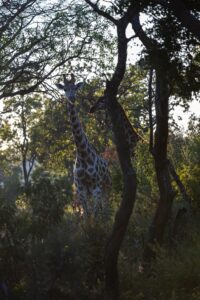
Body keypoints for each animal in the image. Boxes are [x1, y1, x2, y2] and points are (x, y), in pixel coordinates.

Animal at [55, 76, 111, 214]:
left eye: (75, 88)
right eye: (64, 89)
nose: (72, 98)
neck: (83, 154)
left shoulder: (96, 187)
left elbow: (95, 214)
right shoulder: (81, 189)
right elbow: (87, 214)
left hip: (107, 186)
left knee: (106, 208)